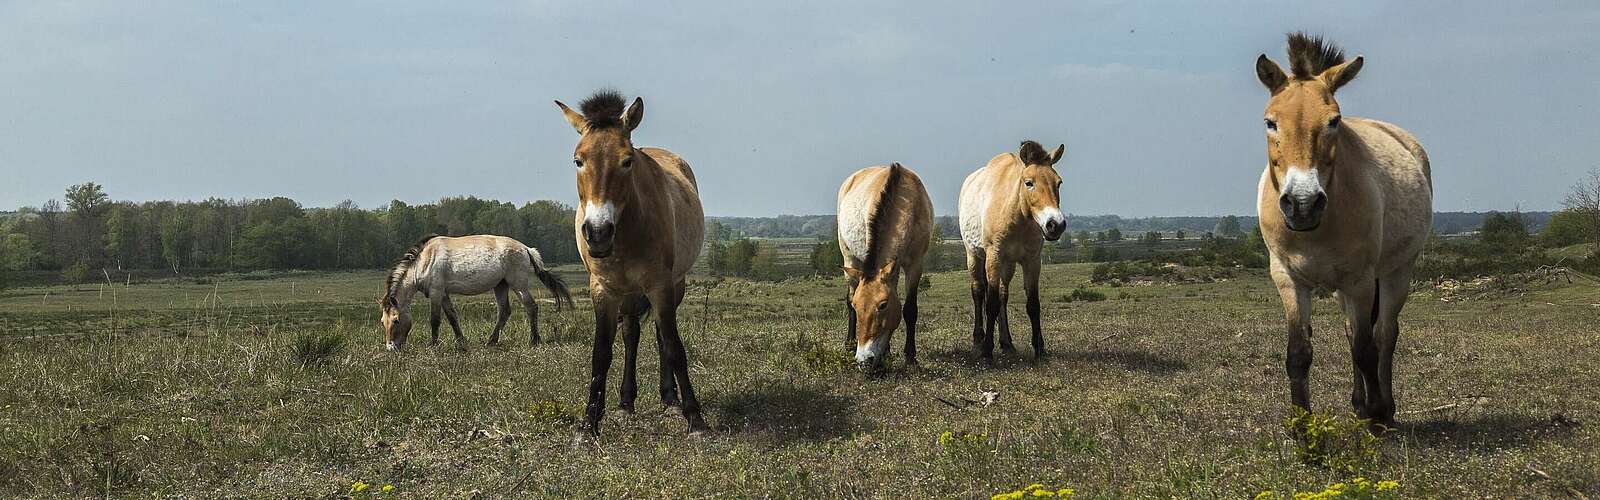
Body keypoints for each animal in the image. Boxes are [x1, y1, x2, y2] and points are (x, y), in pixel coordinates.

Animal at [380, 235, 576, 349]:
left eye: (396, 320)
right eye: (383, 321)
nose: (391, 347)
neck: (425, 260)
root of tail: (526, 249)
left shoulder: (436, 292)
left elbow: (435, 320)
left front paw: (433, 345)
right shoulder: (443, 294)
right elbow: (452, 317)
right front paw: (461, 341)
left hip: (518, 285)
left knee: (531, 307)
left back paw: (534, 340)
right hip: (501, 286)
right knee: (504, 311)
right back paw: (491, 341)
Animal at [553, 89, 704, 435]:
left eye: (627, 161)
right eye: (578, 160)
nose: (597, 233)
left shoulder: (660, 286)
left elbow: (674, 347)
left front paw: (694, 417)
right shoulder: (602, 290)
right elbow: (601, 353)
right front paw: (589, 423)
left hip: (672, 285)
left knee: (660, 336)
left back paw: (670, 400)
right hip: (628, 293)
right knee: (631, 334)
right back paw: (625, 403)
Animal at [838, 161, 934, 368]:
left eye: (883, 305)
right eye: (858, 306)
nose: (864, 360)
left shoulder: (915, 265)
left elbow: (909, 309)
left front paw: (910, 356)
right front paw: (887, 353)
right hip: (849, 259)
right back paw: (849, 345)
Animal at [953, 141, 1068, 363]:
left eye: (1058, 183)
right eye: (1029, 183)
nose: (1055, 225)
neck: (1017, 216)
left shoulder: (1032, 261)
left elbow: (1032, 305)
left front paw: (1040, 350)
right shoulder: (994, 257)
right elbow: (991, 304)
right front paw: (987, 352)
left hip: (1008, 265)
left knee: (1003, 296)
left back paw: (1007, 344)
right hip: (974, 256)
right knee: (979, 292)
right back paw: (978, 341)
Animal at [1254, 33, 1433, 426]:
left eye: (1334, 121)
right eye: (1270, 122)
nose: (1303, 203)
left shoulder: (1361, 279)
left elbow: (1367, 350)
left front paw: (1378, 416)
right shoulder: (1288, 279)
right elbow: (1299, 353)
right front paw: (1302, 428)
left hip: (1396, 272)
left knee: (1384, 335)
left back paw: (1384, 410)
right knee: (1353, 332)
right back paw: (1359, 404)